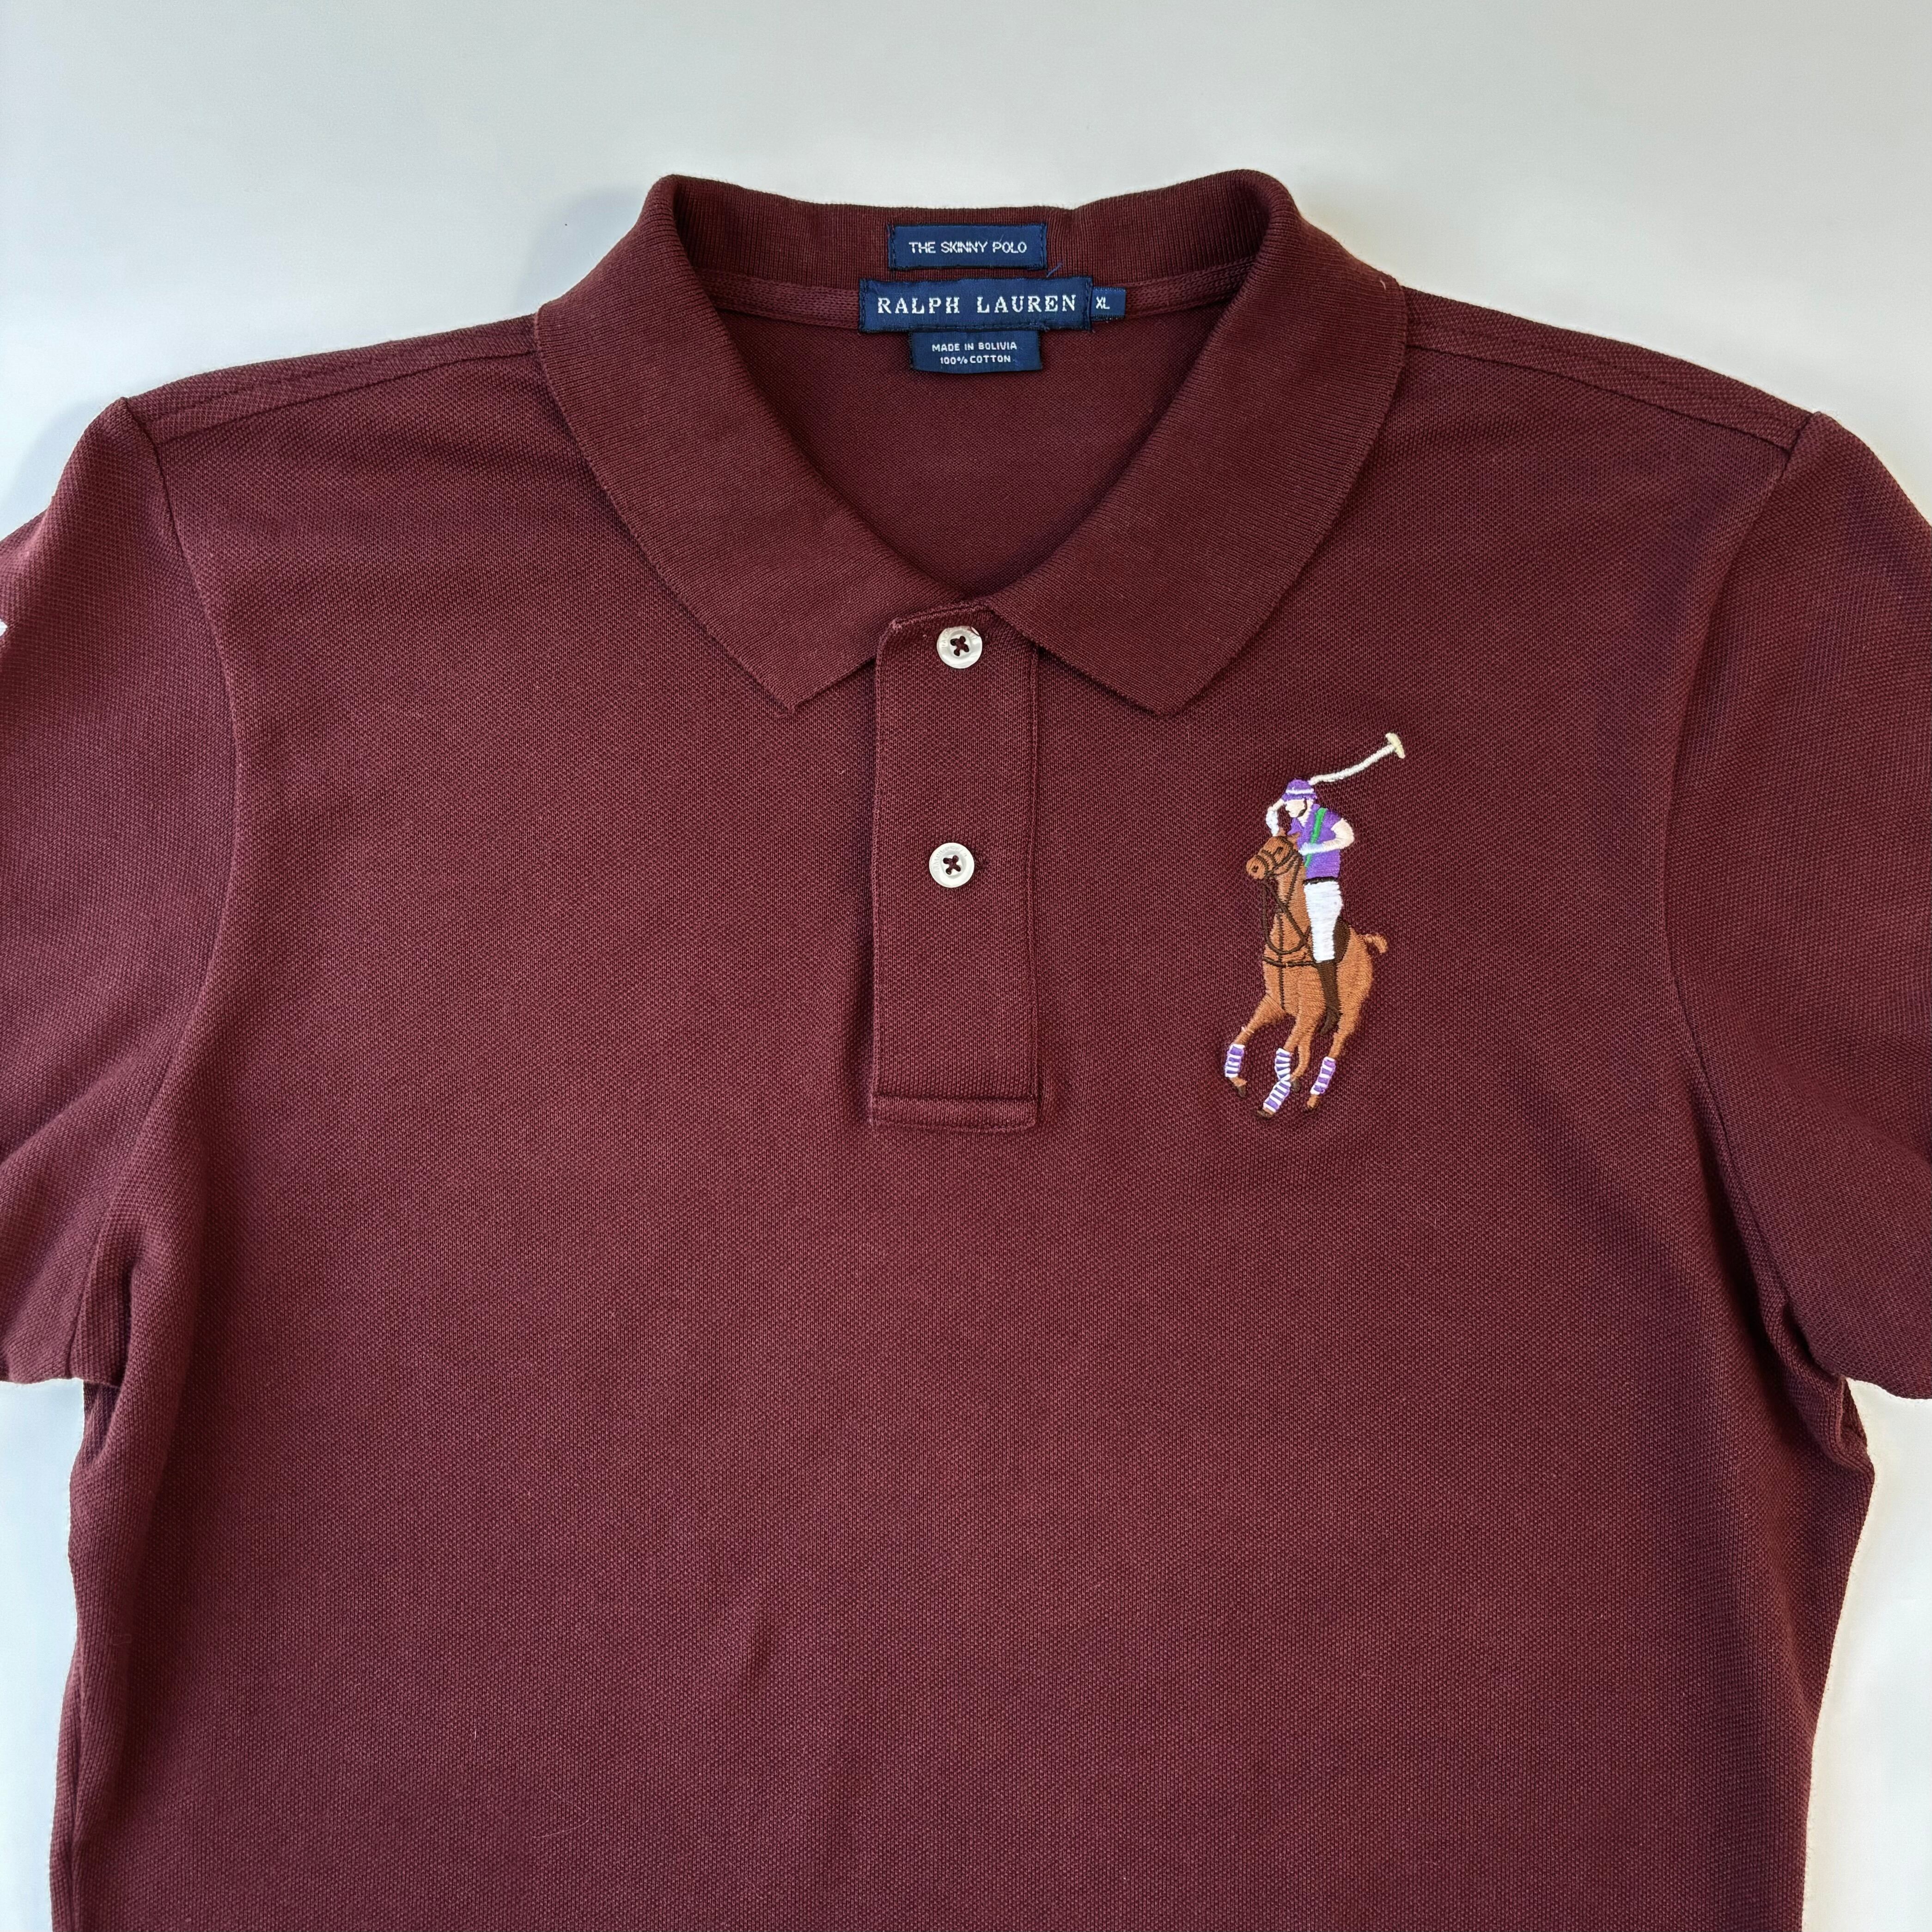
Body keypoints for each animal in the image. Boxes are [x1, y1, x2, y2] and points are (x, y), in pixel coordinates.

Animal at [1223, 835, 1387, 1114]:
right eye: (1267, 842)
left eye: (1280, 849)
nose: (1253, 867)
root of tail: (1365, 943)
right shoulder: (1276, 1003)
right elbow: (1246, 1034)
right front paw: (1238, 1079)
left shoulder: (1309, 1008)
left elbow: (1284, 1050)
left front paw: (1272, 1103)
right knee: (1307, 1047)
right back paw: (1297, 1080)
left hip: (1350, 1009)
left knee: (1335, 1044)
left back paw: (1312, 1097)